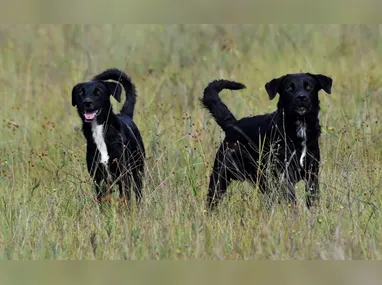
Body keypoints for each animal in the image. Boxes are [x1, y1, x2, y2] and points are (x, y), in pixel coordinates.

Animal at [71, 67, 145, 203]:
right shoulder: (98, 179)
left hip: (137, 170)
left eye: (98, 92)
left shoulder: (123, 174)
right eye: (80, 93)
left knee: (138, 194)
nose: (87, 102)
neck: (99, 132)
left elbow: (125, 199)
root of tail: (125, 115)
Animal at [201, 72, 332, 210]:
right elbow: (292, 201)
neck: (299, 129)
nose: (301, 97)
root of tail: (233, 125)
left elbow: (312, 200)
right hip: (220, 178)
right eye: (289, 88)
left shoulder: (311, 174)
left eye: (309, 87)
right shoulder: (283, 175)